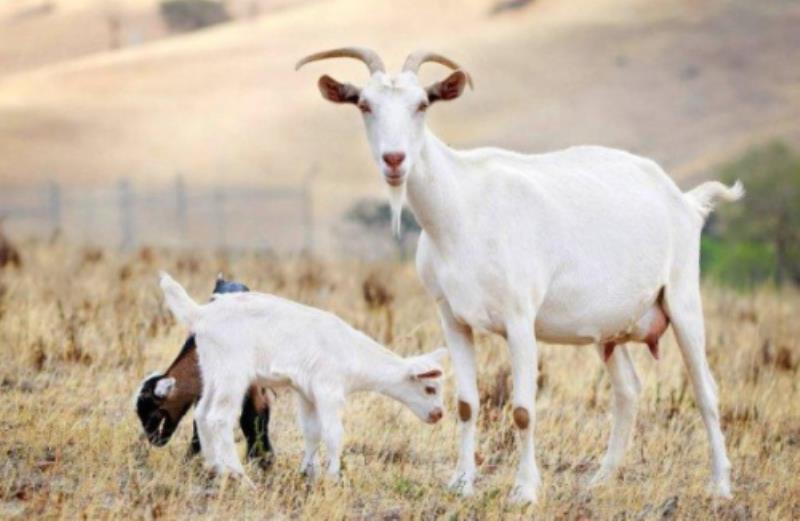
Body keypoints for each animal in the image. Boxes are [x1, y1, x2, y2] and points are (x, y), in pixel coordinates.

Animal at [296, 47, 740, 504]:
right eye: (364, 105)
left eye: (422, 104)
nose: (395, 160)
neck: (462, 210)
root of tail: (686, 200)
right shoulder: (451, 317)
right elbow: (467, 404)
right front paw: (462, 482)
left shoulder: (520, 318)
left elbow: (524, 410)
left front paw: (525, 491)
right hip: (609, 329)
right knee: (628, 391)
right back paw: (600, 480)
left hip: (682, 297)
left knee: (705, 389)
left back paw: (720, 485)